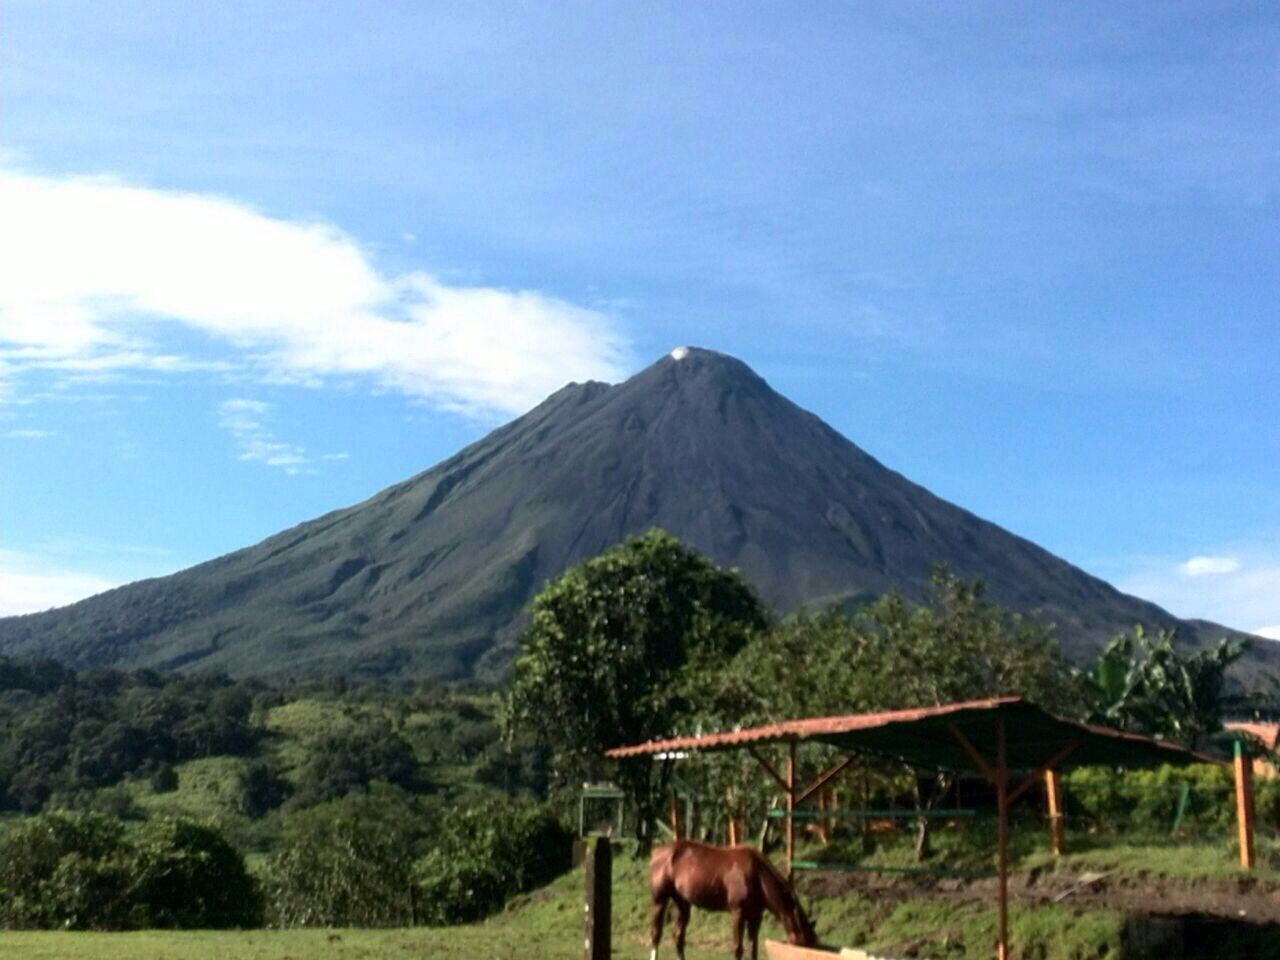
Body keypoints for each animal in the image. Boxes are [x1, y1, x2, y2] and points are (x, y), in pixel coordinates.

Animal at [645, 839, 814, 960]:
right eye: (802, 944)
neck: (756, 875)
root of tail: (656, 853)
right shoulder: (737, 912)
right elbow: (738, 948)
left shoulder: (755, 917)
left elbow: (753, 949)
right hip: (659, 900)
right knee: (656, 934)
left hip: (683, 903)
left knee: (678, 936)